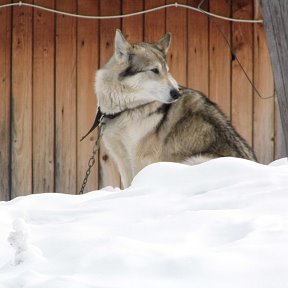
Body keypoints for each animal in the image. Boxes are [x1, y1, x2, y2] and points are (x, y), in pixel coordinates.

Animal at [83, 28, 256, 187]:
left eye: (167, 70)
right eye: (154, 70)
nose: (176, 93)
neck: (127, 110)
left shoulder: (141, 160)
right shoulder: (122, 159)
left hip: (192, 160)